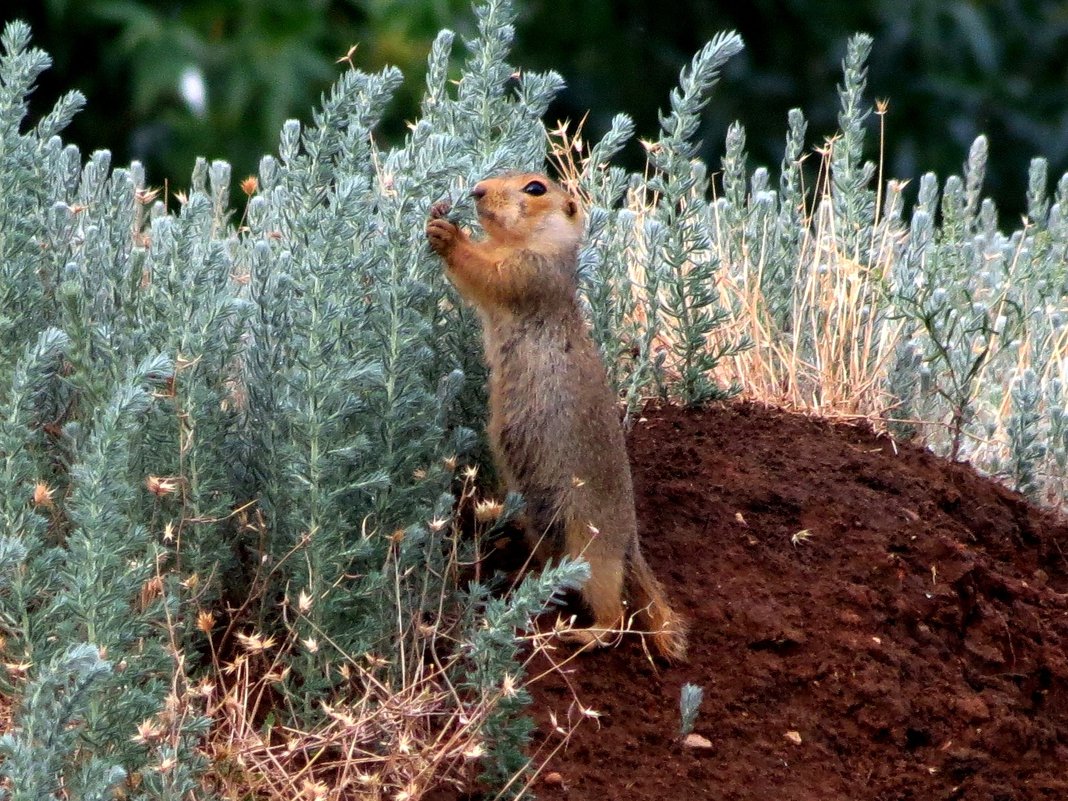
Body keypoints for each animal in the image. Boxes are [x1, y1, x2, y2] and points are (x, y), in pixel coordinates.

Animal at [420, 173, 687, 662]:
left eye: (535, 188)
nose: (477, 191)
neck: (530, 242)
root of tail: (630, 545)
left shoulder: (529, 272)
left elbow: (487, 273)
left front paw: (450, 234)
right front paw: (438, 210)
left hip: (590, 547)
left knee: (615, 613)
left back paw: (585, 634)